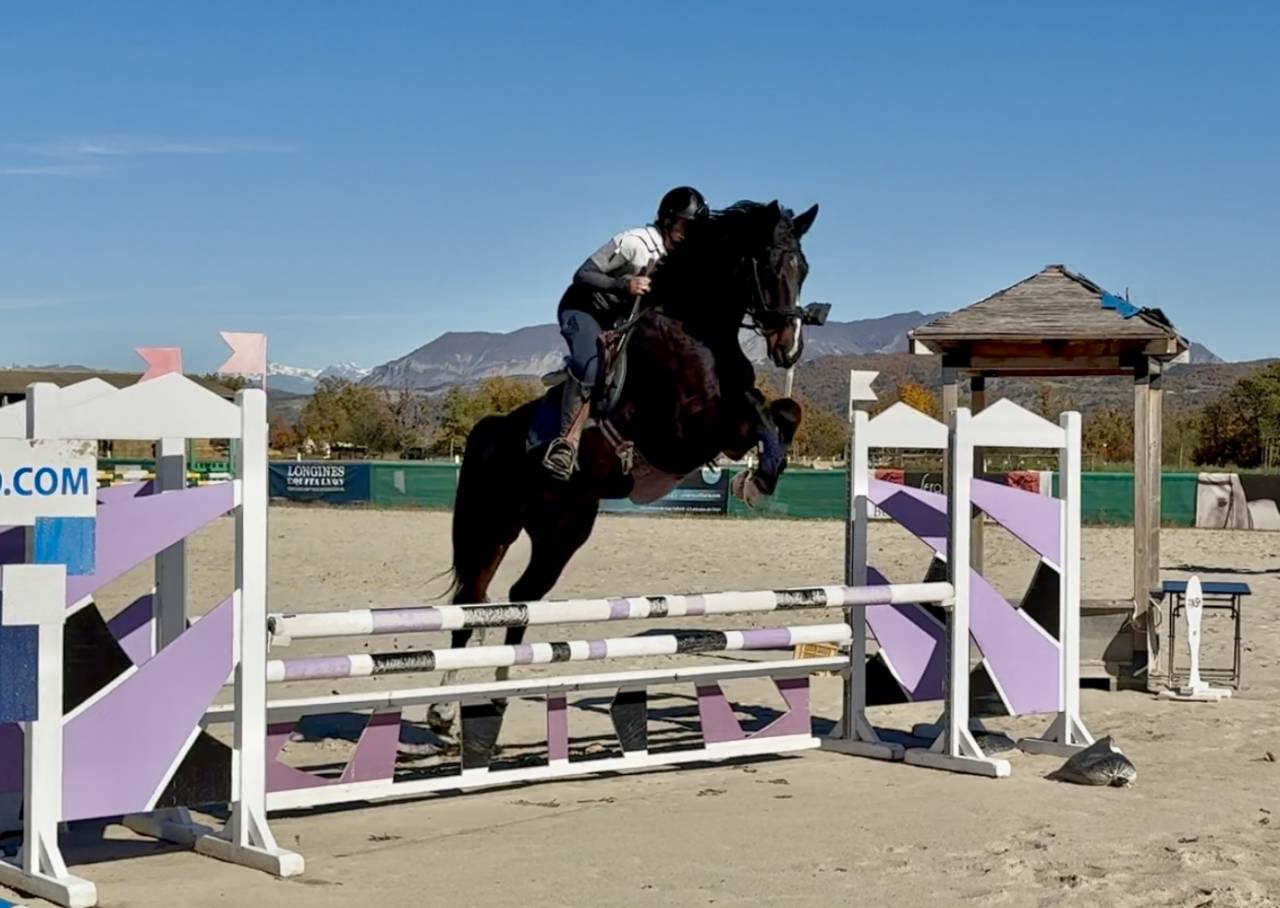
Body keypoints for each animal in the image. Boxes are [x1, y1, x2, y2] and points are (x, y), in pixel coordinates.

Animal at [427, 200, 821, 735]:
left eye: (804, 269)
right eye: (769, 266)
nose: (789, 349)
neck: (696, 328)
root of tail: (489, 429)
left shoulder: (723, 424)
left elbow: (783, 411)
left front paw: (759, 477)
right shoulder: (683, 433)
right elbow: (758, 411)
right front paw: (755, 480)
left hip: (562, 529)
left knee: (520, 598)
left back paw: (496, 696)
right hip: (494, 523)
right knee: (473, 601)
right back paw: (442, 711)